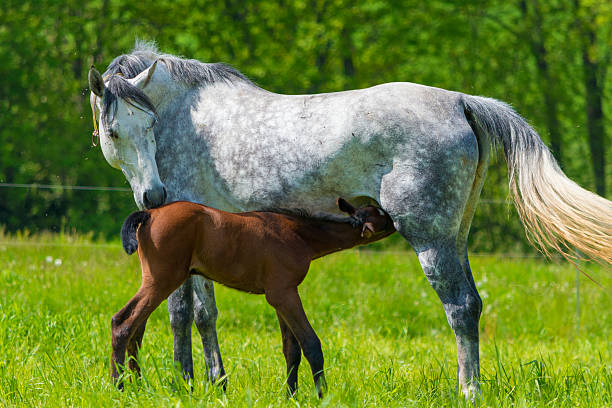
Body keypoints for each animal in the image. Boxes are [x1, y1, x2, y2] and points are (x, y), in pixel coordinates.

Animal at [112, 198, 394, 396]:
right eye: (382, 216)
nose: (395, 217)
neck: (298, 233)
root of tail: (149, 214)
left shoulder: (281, 295)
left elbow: (291, 349)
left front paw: (291, 395)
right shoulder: (284, 294)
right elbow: (311, 344)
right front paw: (322, 395)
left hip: (157, 282)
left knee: (136, 329)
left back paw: (137, 387)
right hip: (162, 280)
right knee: (123, 322)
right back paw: (119, 387)